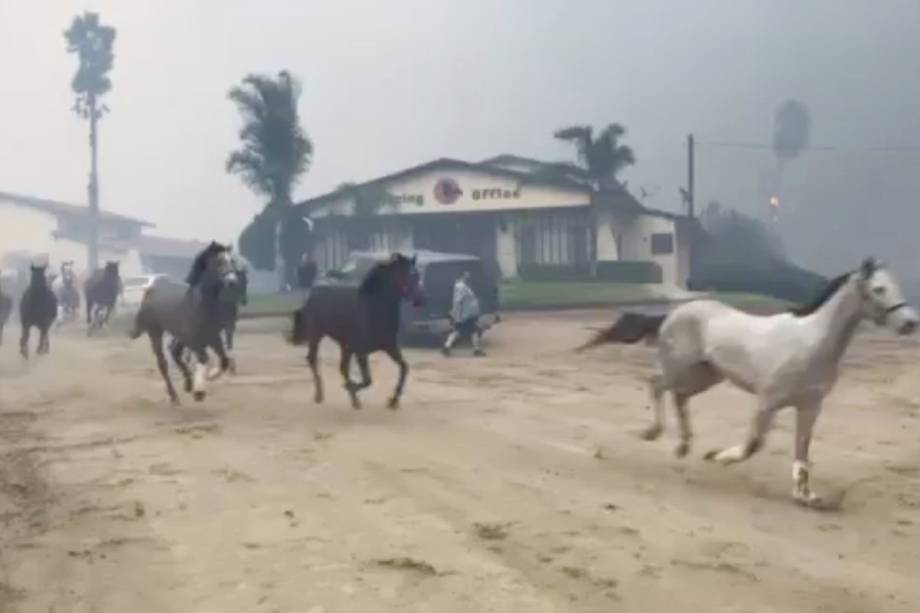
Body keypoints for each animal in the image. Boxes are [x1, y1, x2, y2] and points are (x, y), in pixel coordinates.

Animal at [130, 241, 239, 404]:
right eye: (219, 262)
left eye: (231, 261)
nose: (233, 281)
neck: (200, 305)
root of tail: (152, 288)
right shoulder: (194, 340)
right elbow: (204, 358)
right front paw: (199, 392)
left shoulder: (213, 337)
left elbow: (224, 360)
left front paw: (210, 376)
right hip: (154, 331)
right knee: (163, 362)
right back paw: (174, 396)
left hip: (179, 335)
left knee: (174, 351)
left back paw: (187, 384)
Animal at [290, 251, 426, 408]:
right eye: (407, 275)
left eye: (417, 275)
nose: (420, 300)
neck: (373, 309)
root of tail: (311, 296)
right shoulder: (361, 351)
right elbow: (367, 380)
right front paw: (351, 387)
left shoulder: (390, 346)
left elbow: (404, 367)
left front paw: (393, 400)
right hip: (316, 335)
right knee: (312, 359)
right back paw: (320, 396)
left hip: (345, 345)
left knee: (342, 367)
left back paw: (354, 400)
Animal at [580, 256, 916, 506]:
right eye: (879, 289)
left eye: (895, 285)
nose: (911, 323)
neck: (811, 343)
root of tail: (673, 315)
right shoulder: (768, 401)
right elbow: (754, 444)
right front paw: (716, 456)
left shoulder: (809, 406)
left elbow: (802, 450)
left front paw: (806, 495)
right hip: (681, 368)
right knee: (656, 384)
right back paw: (655, 432)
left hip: (706, 375)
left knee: (679, 396)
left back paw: (683, 445)